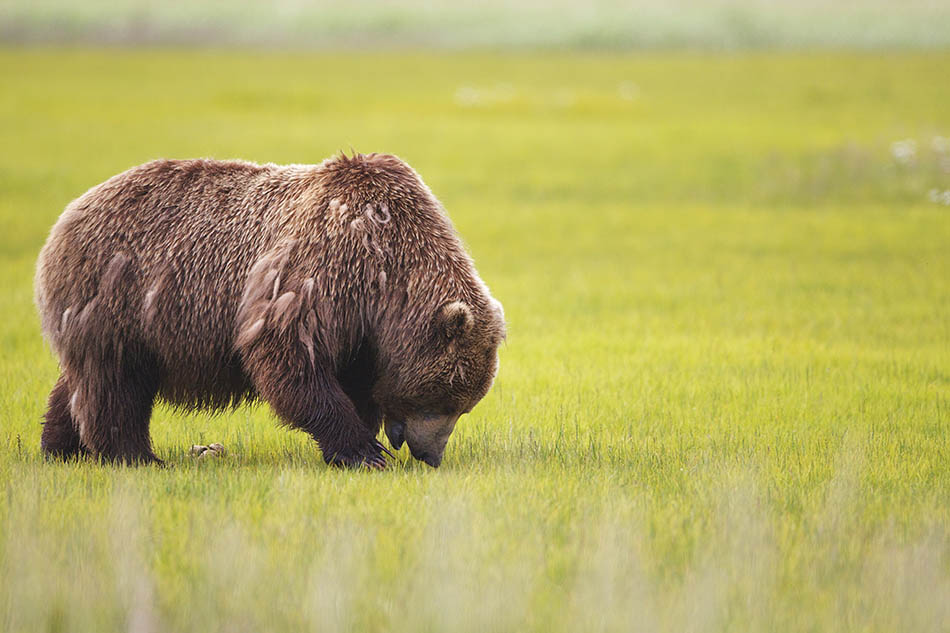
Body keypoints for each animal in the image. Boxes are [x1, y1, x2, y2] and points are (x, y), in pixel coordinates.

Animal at [32, 153, 506, 466]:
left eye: (463, 405)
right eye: (442, 399)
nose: (431, 455)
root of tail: (67, 215)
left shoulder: (362, 327)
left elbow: (354, 378)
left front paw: (362, 438)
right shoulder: (324, 268)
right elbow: (289, 355)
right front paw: (362, 452)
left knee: (80, 382)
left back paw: (59, 447)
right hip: (118, 296)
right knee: (114, 382)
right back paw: (135, 456)